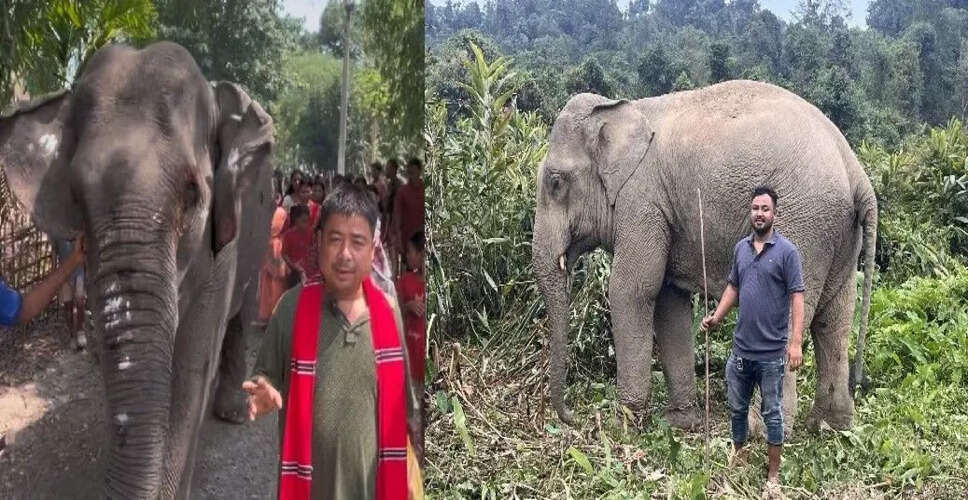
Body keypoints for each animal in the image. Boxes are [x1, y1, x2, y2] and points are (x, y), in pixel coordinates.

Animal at [0, 41, 274, 498]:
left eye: (192, 194)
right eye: (76, 197)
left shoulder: (223, 246)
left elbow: (192, 368)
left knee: (243, 311)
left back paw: (234, 412)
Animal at [532, 79, 876, 435]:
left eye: (556, 183)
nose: (572, 416)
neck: (620, 109)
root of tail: (856, 173)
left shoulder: (642, 204)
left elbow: (631, 291)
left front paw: (622, 426)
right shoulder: (665, 212)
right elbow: (669, 301)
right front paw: (680, 422)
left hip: (803, 226)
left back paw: (762, 431)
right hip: (839, 235)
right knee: (834, 317)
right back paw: (830, 427)